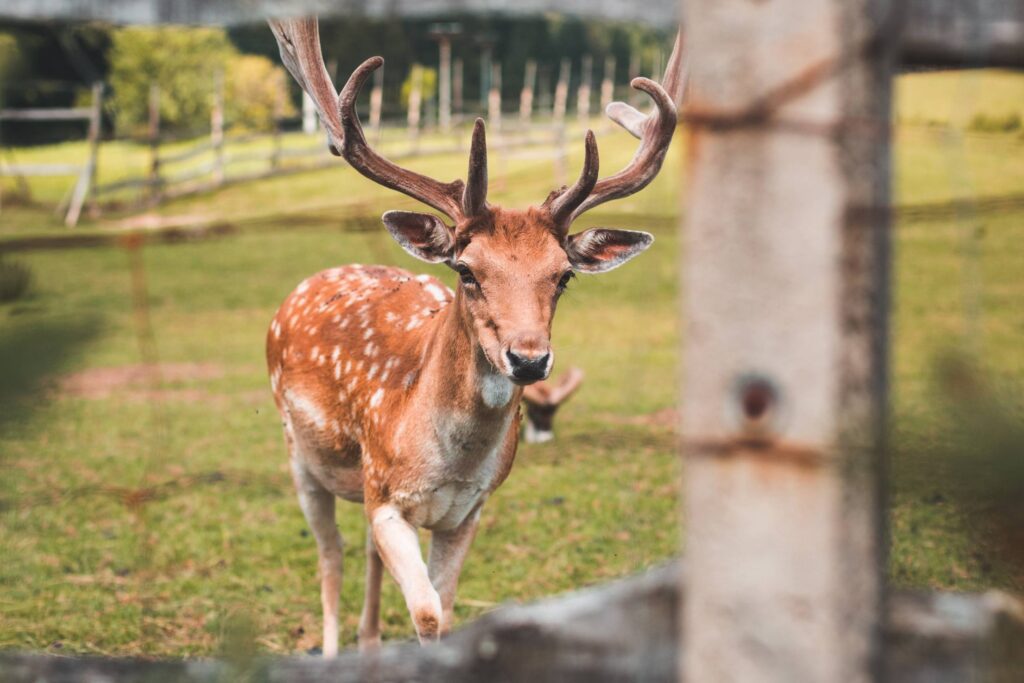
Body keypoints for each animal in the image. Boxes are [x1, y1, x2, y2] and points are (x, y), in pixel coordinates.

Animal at [266, 17, 688, 655]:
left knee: (361, 553)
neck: (448, 463)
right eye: (466, 270)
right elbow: (426, 614)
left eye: (563, 275)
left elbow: (443, 608)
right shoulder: (385, 495)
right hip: (299, 453)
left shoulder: (468, 511)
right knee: (330, 557)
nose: (529, 359)